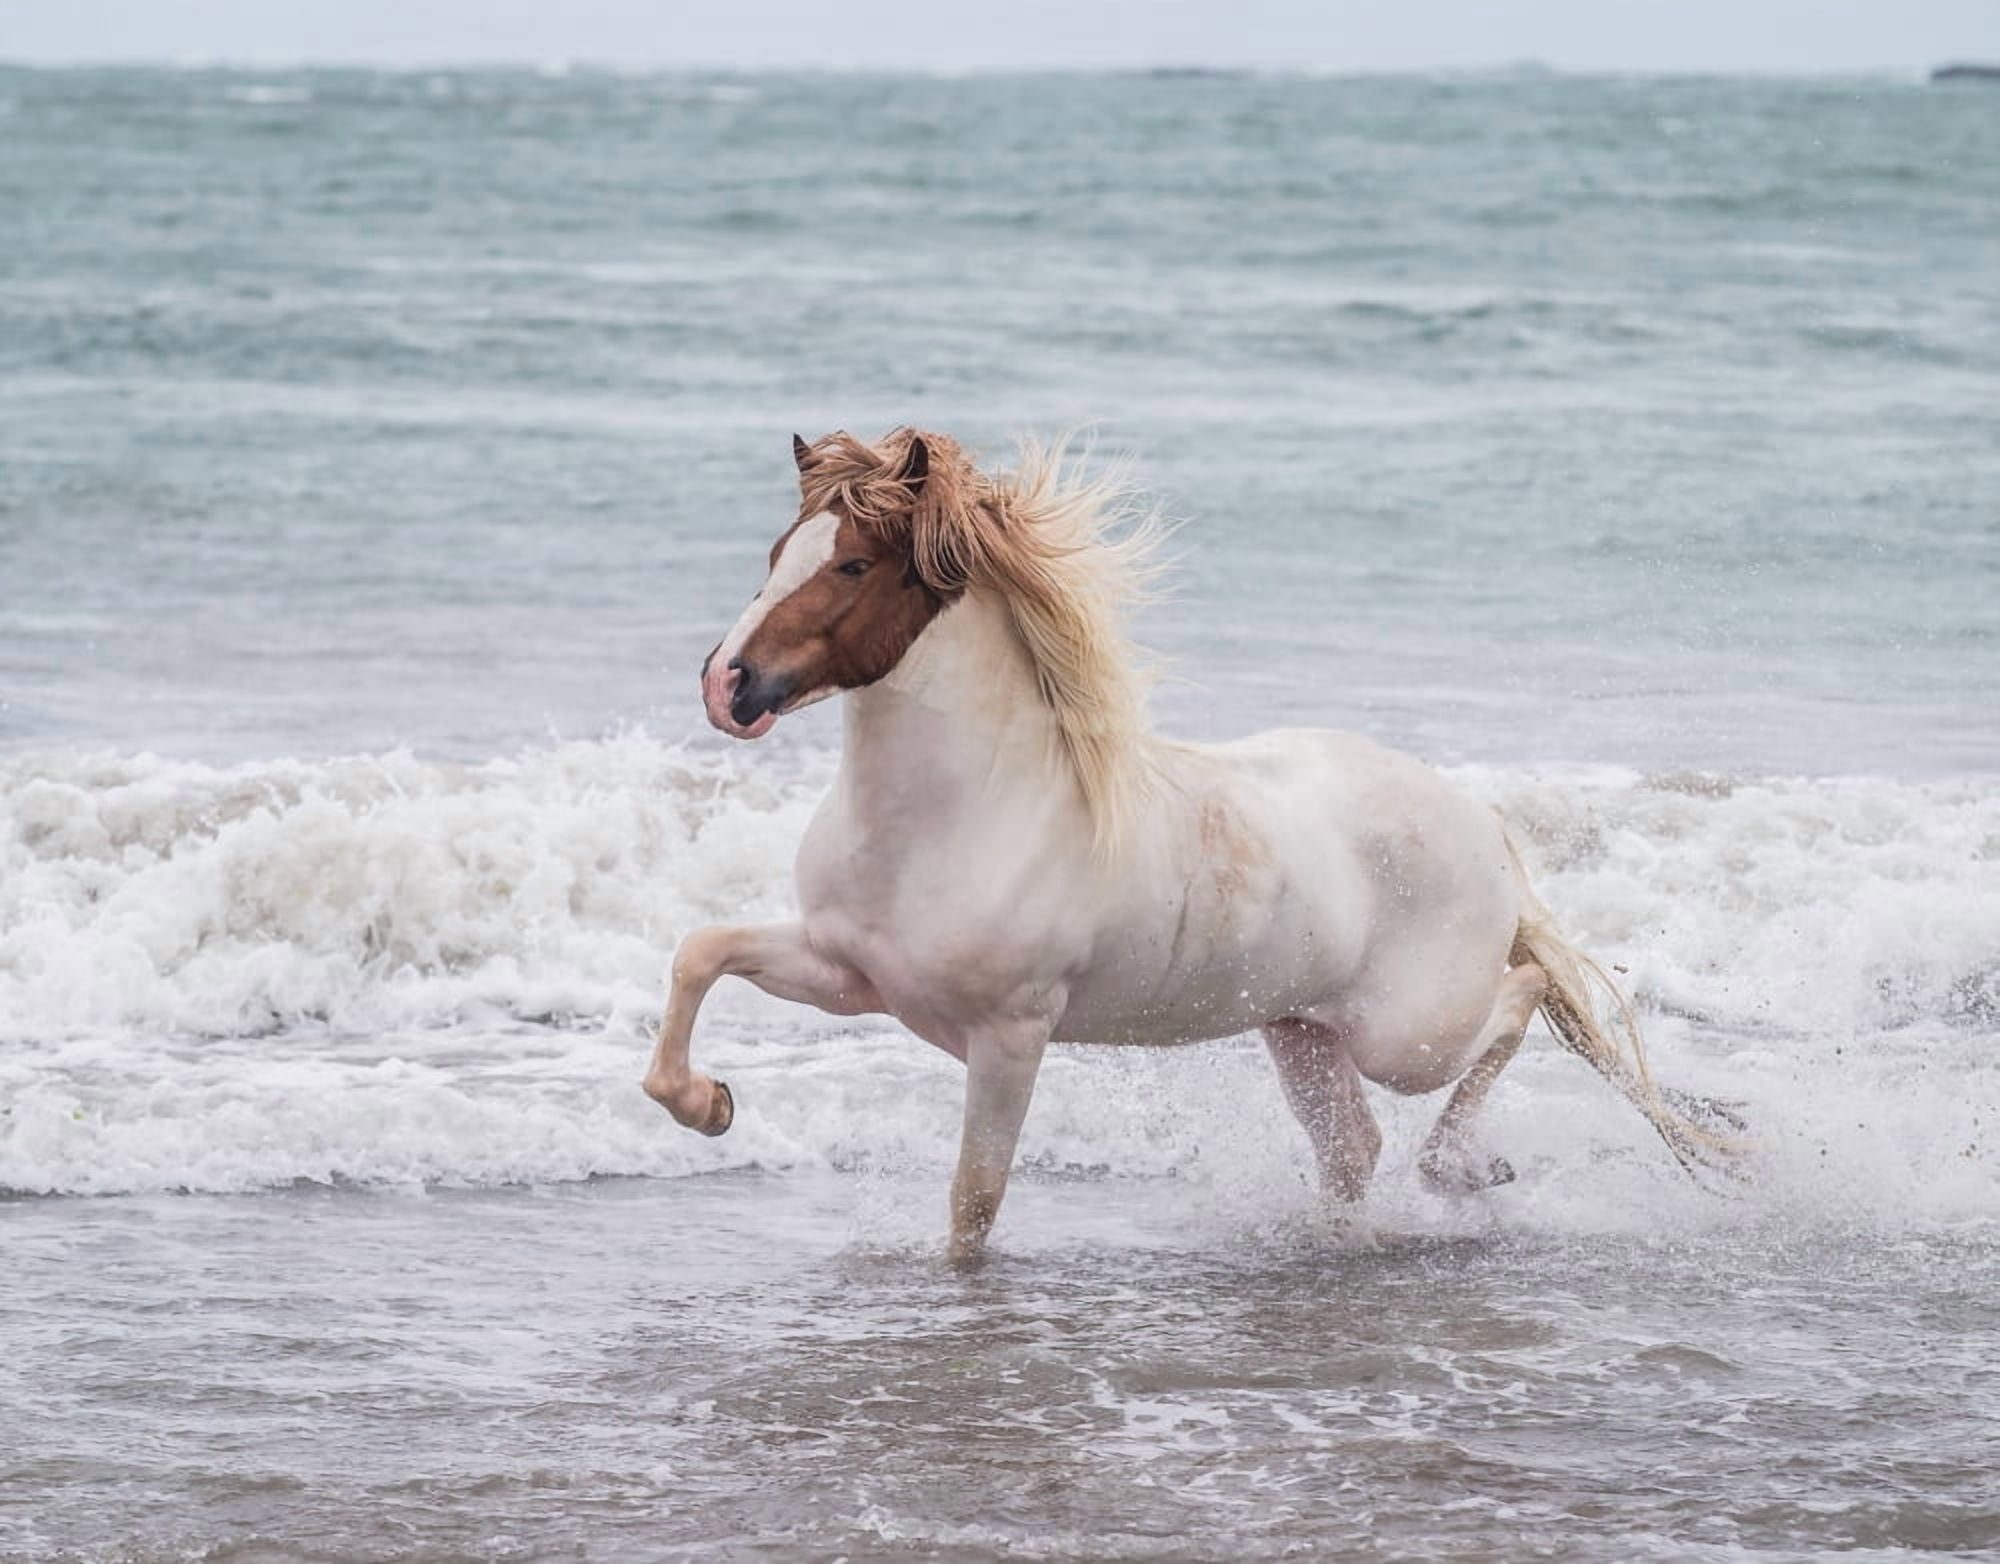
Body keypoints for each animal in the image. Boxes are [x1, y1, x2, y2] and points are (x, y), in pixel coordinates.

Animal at [644, 427, 1743, 1261]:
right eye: (775, 551)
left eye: (852, 564)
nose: (726, 685)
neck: (959, 812)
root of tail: (1481, 821)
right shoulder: (850, 975)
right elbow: (701, 951)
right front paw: (707, 1106)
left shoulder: (1008, 1037)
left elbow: (974, 1204)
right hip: (1299, 1030)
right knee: (1354, 1146)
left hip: (1405, 1035)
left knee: (1515, 1001)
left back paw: (1467, 1167)